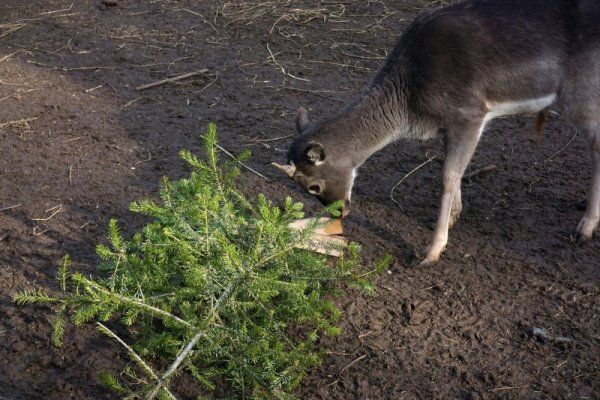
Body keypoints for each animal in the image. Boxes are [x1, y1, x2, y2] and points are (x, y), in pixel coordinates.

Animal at [272, 0, 600, 266]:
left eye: (313, 186)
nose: (339, 214)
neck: (409, 104)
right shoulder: (450, 125)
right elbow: (452, 171)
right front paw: (454, 216)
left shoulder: (470, 113)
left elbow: (447, 177)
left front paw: (431, 252)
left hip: (581, 93)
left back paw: (584, 228)